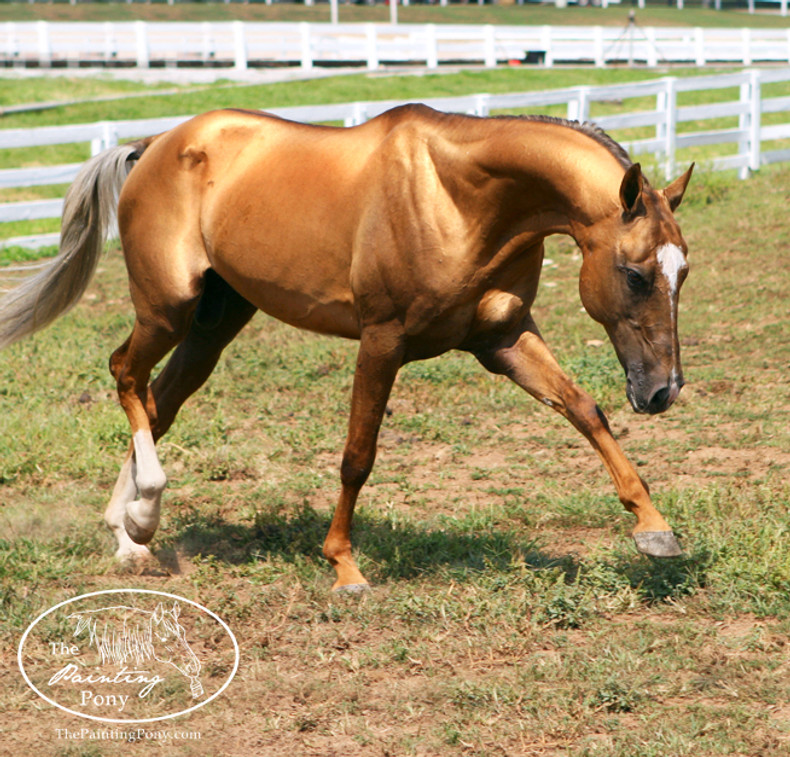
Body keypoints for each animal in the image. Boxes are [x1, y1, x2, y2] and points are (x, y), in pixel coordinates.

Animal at [0, 106, 692, 592]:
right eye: (635, 274)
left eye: (683, 271)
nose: (661, 390)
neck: (461, 198)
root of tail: (154, 146)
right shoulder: (382, 341)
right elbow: (358, 456)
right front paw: (345, 569)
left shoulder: (504, 339)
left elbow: (584, 410)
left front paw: (654, 529)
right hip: (166, 308)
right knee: (125, 374)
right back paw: (140, 517)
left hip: (213, 325)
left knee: (157, 402)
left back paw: (131, 533)